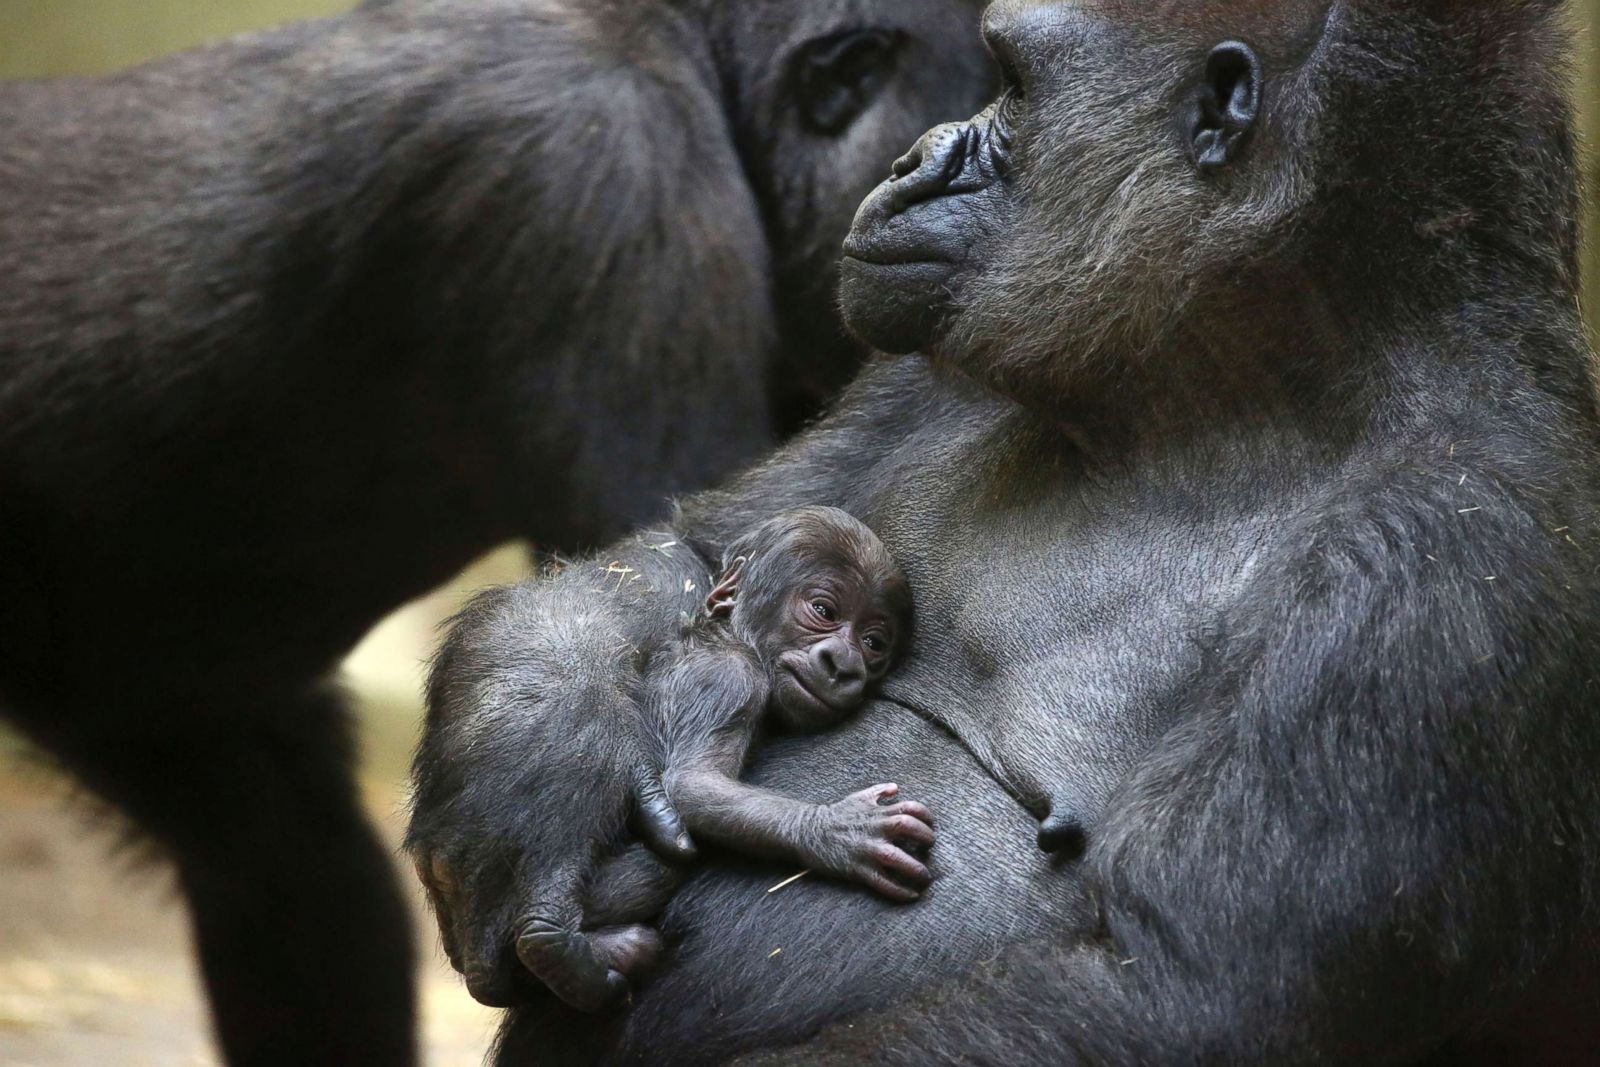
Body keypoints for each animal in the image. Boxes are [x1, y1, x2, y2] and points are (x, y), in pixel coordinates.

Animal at [518, 508, 934, 1011]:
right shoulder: (728, 679)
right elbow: (691, 785)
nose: (842, 664)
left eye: (873, 642)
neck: (728, 634)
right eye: (824, 612)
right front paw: (835, 832)